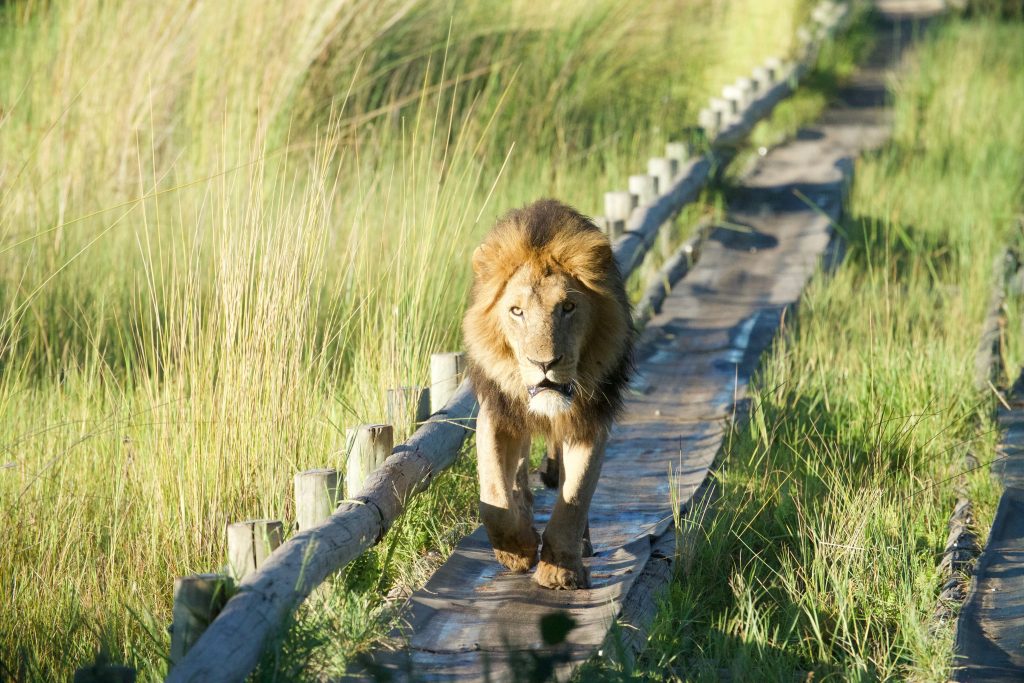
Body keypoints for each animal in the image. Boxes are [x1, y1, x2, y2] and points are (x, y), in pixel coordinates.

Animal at [464, 197, 630, 589]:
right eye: (516, 311)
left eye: (568, 307)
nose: (545, 363)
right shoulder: (497, 412)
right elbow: (493, 497)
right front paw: (517, 551)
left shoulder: (590, 421)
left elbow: (575, 497)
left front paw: (560, 570)